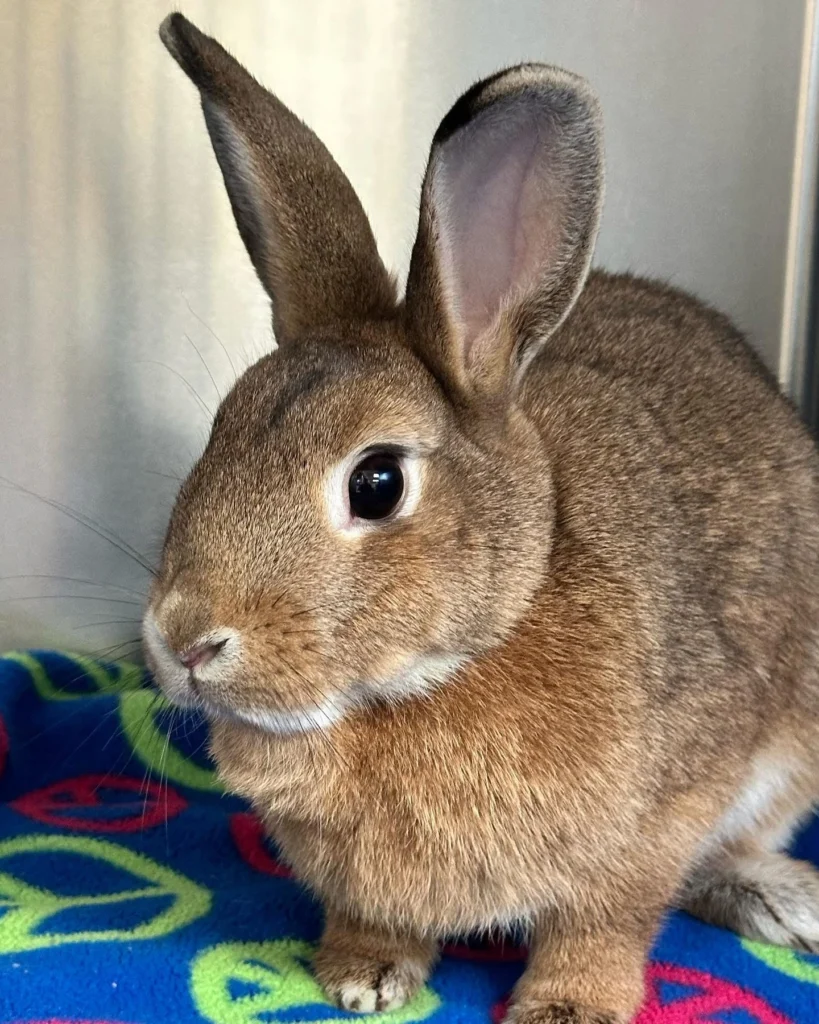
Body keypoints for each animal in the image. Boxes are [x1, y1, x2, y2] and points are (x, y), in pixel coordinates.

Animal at [144, 12, 819, 1024]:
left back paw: (781, 902)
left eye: (376, 483)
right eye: (218, 435)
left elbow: (607, 922)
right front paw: (361, 975)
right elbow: (373, 918)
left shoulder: (658, 821)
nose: (183, 639)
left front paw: (567, 1008)